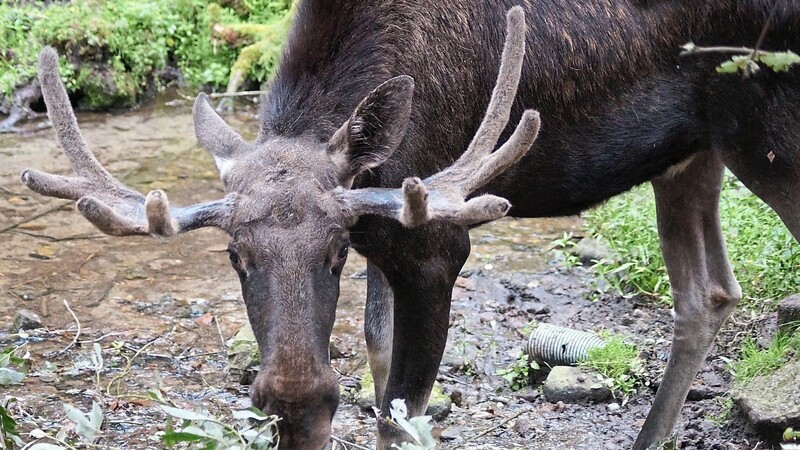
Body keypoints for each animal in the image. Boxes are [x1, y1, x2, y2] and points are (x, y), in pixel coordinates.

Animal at [18, 0, 800, 448]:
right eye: (236, 255)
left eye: (334, 253)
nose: (293, 394)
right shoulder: (385, 237)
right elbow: (374, 356)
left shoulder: (433, 245)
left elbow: (399, 413)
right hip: (693, 152)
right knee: (708, 294)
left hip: (768, 132)